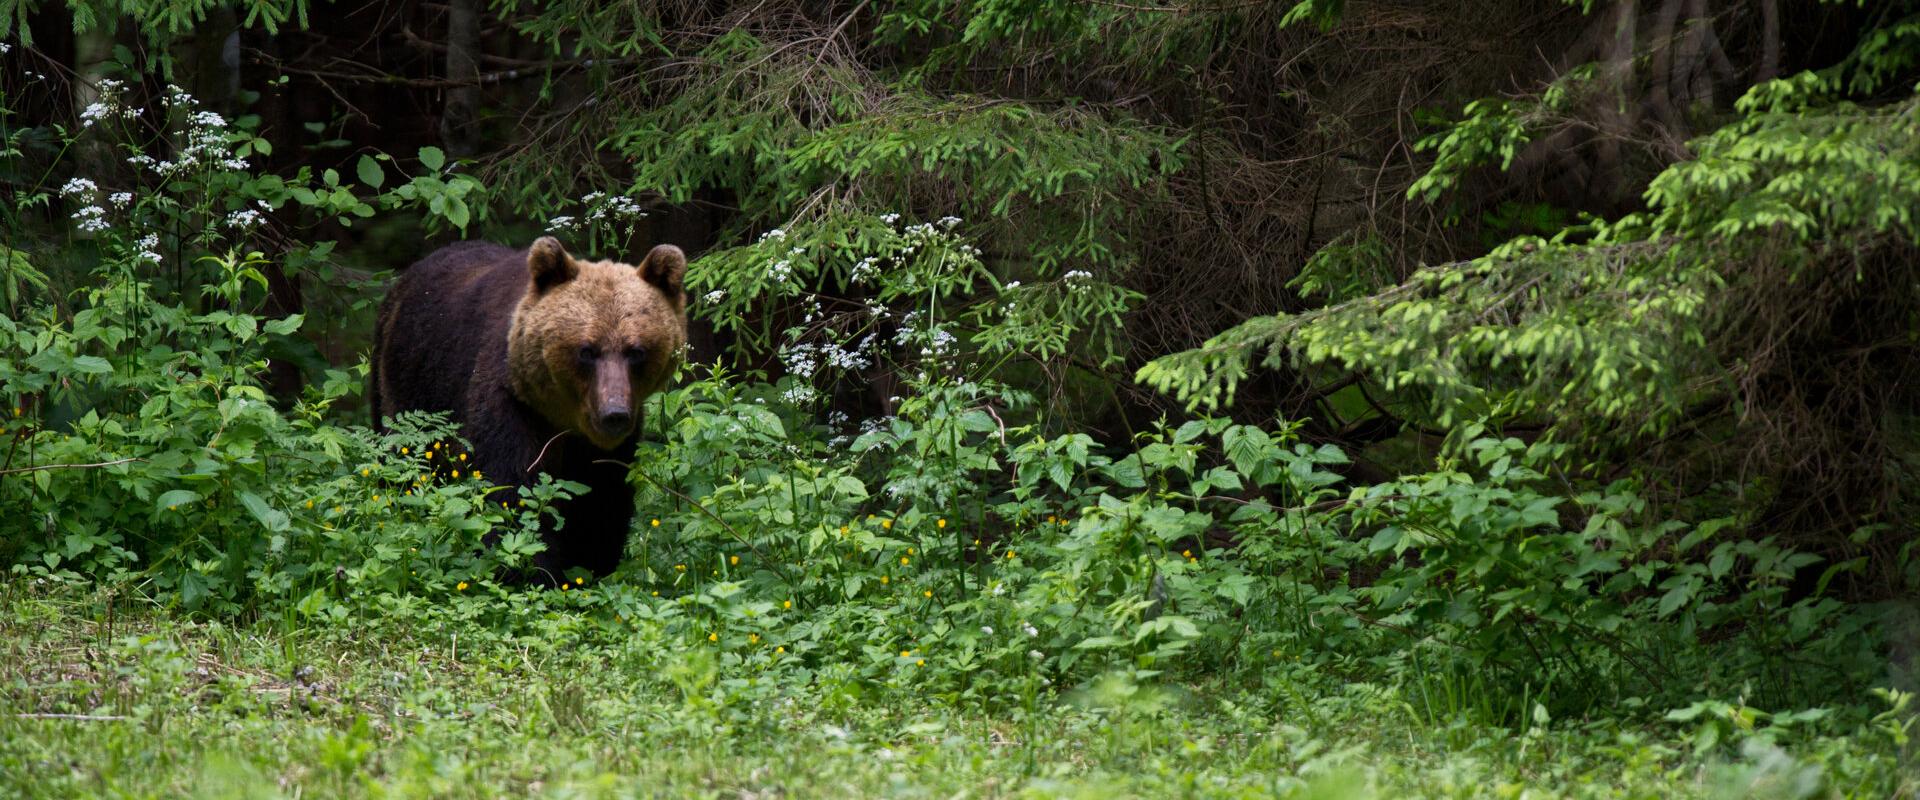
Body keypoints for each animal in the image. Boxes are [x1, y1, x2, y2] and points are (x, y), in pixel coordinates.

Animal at [370, 235, 687, 579]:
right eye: (587, 350)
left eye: (636, 351)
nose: (614, 414)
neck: (563, 417)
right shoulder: (511, 405)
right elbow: (514, 495)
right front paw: (531, 570)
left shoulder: (606, 444)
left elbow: (600, 501)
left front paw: (586, 567)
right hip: (406, 389)